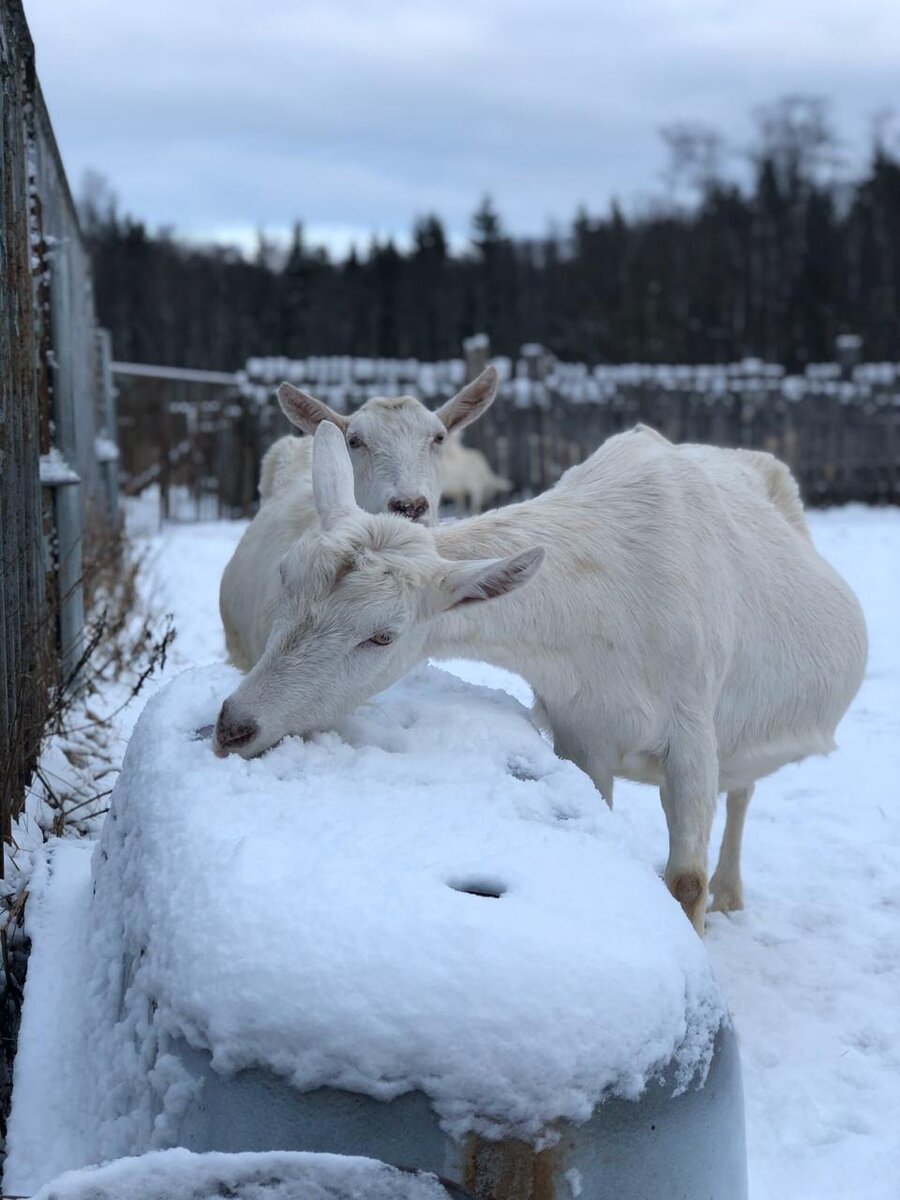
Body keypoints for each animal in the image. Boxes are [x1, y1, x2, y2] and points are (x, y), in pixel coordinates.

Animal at [214, 422, 868, 936]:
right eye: (285, 577)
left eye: (382, 636)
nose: (234, 726)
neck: (609, 595)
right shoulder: (582, 731)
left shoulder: (693, 729)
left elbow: (686, 880)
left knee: (743, 792)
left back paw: (731, 894)